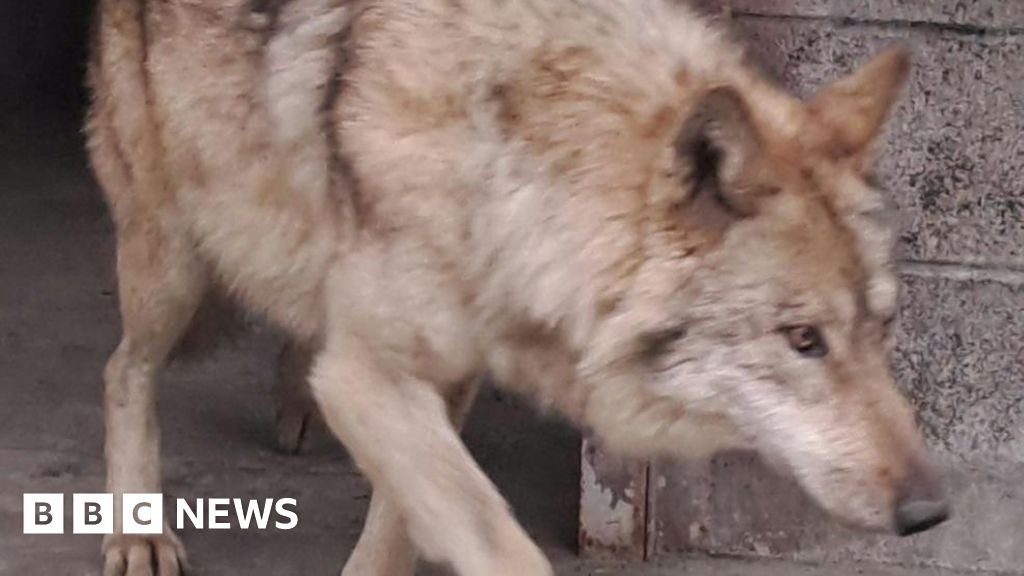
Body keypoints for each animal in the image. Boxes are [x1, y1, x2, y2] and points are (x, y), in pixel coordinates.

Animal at [86, 0, 948, 574]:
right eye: (803, 340)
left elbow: (402, 524)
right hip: (172, 258)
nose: (929, 511)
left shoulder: (443, 377)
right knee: (124, 371)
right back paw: (137, 536)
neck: (511, 167)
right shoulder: (373, 377)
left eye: (883, 329)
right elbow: (489, 534)